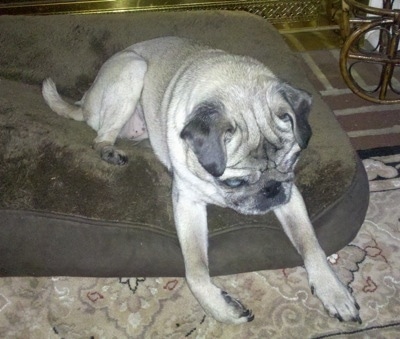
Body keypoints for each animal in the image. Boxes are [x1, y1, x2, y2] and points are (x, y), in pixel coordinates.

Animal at [42, 35, 360, 326]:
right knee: (100, 137)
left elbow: (311, 245)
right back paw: (110, 151)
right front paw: (222, 309)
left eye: (292, 162)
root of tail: (84, 101)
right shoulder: (189, 202)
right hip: (133, 70)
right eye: (234, 182)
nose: (271, 190)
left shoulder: (291, 196)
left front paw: (333, 291)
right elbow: (195, 269)